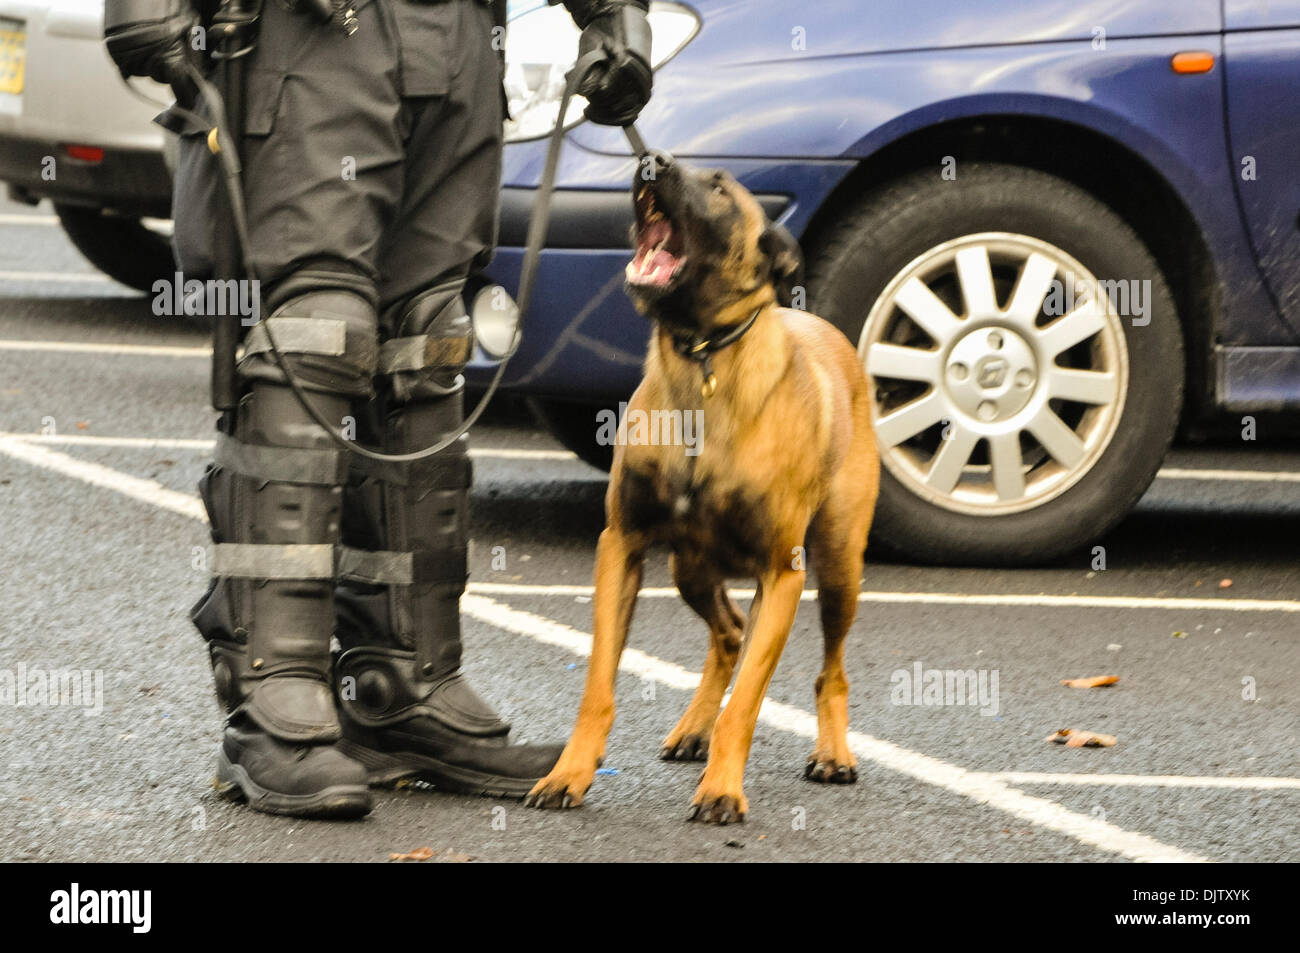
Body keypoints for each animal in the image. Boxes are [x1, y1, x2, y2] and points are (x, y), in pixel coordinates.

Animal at [522, 159, 878, 821]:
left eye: (717, 187)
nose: (650, 160)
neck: (703, 359)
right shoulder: (623, 546)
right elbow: (598, 684)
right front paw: (570, 774)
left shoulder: (781, 574)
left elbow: (747, 704)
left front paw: (721, 790)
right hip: (687, 566)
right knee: (730, 632)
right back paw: (694, 728)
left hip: (840, 565)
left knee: (830, 670)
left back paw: (832, 752)